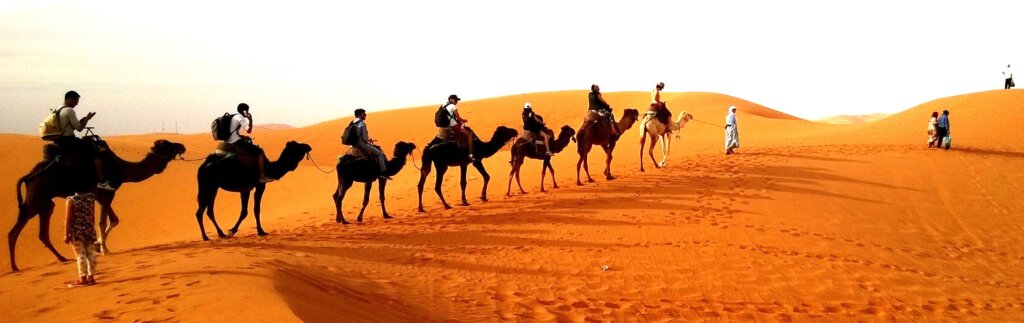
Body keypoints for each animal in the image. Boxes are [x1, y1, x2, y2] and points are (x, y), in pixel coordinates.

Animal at [9, 140, 186, 272]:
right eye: (168, 144)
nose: (182, 146)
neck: (122, 169)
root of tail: (29, 175)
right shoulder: (107, 193)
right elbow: (102, 222)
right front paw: (104, 250)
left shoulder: (102, 196)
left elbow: (114, 220)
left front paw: (97, 246)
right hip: (37, 196)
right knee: (15, 230)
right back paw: (15, 266)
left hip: (45, 202)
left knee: (42, 231)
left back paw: (61, 258)